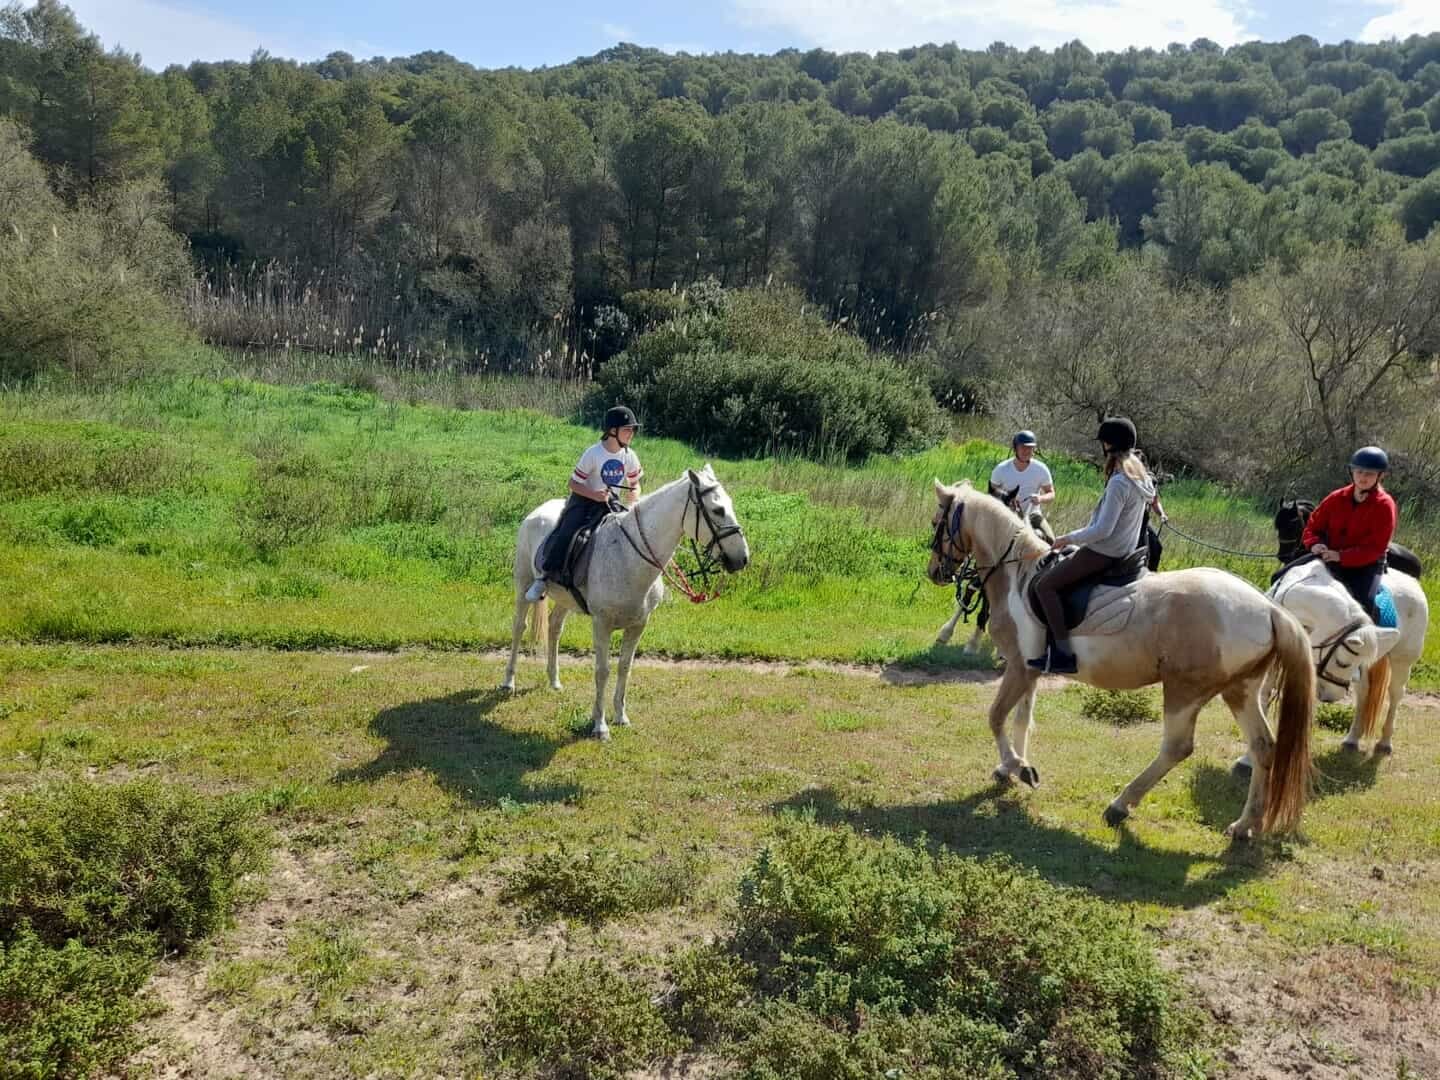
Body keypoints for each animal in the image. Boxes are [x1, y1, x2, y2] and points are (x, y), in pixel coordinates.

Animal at [502, 465, 750, 740]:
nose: (742, 558)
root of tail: (537, 512)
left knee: (555, 628)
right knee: (519, 627)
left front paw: (621, 716)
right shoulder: (602, 624)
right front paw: (600, 726)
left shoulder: (638, 625)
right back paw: (508, 682)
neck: (628, 556)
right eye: (718, 510)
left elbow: (624, 666)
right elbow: (602, 671)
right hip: (523, 582)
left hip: (564, 599)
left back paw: (554, 681)